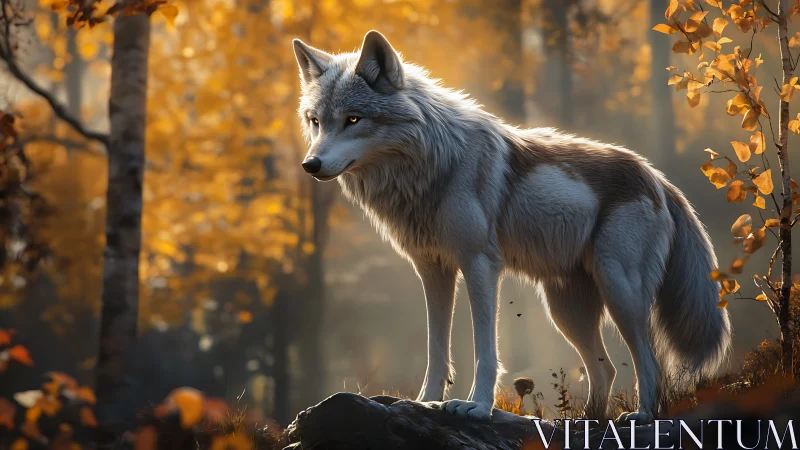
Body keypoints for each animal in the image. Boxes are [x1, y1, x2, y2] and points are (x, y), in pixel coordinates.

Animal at [292, 30, 731, 422]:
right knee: (604, 368)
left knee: (649, 361)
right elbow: (437, 350)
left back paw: (639, 416)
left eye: (353, 119)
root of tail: (658, 178)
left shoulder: (479, 265)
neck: (434, 165)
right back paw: (584, 421)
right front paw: (424, 403)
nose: (310, 165)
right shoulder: (433, 270)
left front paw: (477, 407)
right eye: (315, 122)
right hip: (566, 310)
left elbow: (485, 349)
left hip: (618, 290)